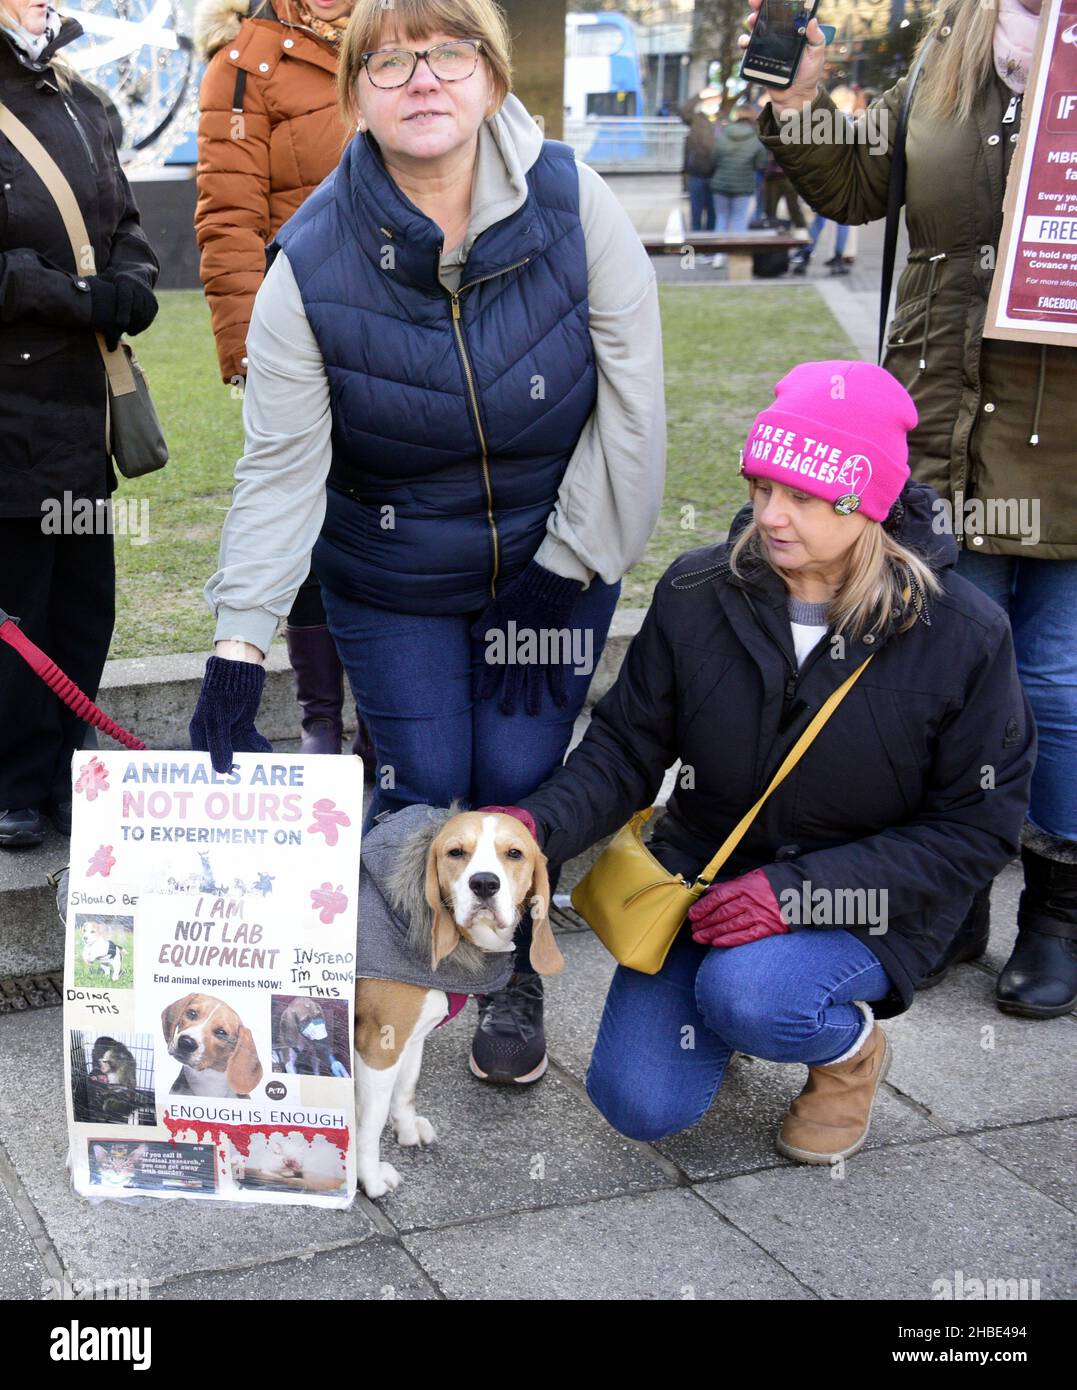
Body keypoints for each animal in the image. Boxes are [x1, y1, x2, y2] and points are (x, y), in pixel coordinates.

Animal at [361, 811, 569, 1200]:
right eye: (456, 852)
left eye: (514, 853)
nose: (484, 884)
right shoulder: (380, 1047)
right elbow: (369, 1120)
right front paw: (368, 1178)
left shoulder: (411, 1039)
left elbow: (406, 1090)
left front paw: (406, 1130)